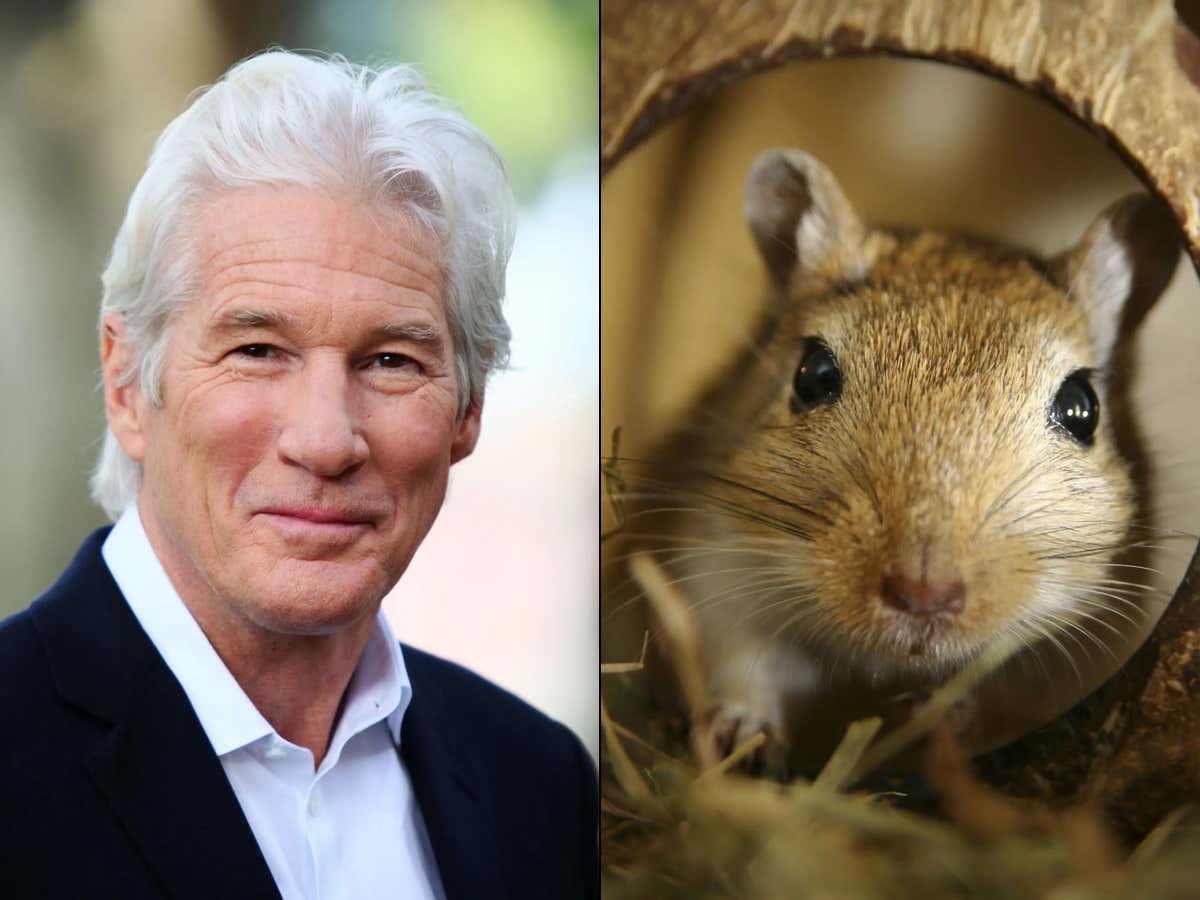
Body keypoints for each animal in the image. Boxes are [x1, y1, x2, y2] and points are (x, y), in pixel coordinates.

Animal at [620, 148, 1181, 775]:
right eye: (811, 375)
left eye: (1083, 408)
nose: (923, 596)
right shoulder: (709, 563)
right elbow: (739, 658)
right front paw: (744, 736)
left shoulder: (1087, 648)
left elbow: (1010, 690)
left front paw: (937, 714)